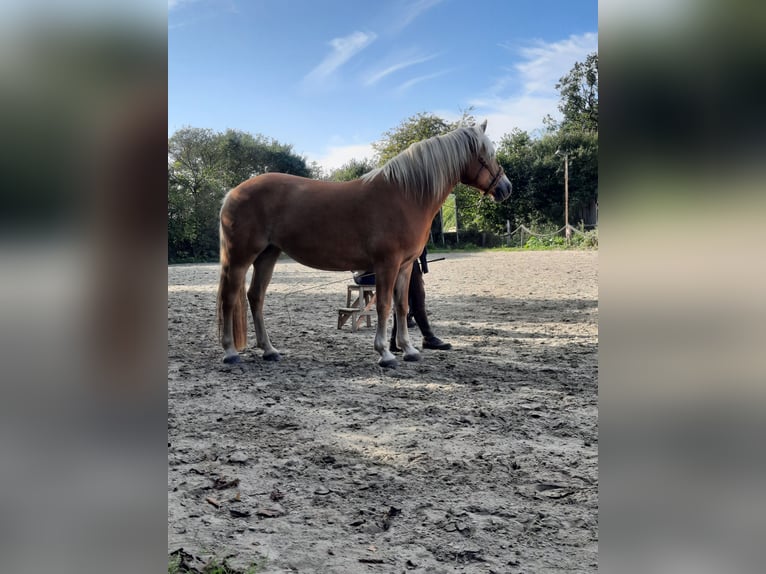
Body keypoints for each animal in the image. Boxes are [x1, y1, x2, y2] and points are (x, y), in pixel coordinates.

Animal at [219, 121, 512, 368]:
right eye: (486, 156)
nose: (506, 188)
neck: (405, 195)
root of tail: (232, 193)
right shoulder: (387, 265)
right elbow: (383, 305)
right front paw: (385, 353)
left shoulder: (405, 267)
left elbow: (402, 306)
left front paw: (408, 350)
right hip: (240, 258)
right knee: (230, 297)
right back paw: (230, 352)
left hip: (268, 255)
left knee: (255, 297)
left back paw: (269, 350)